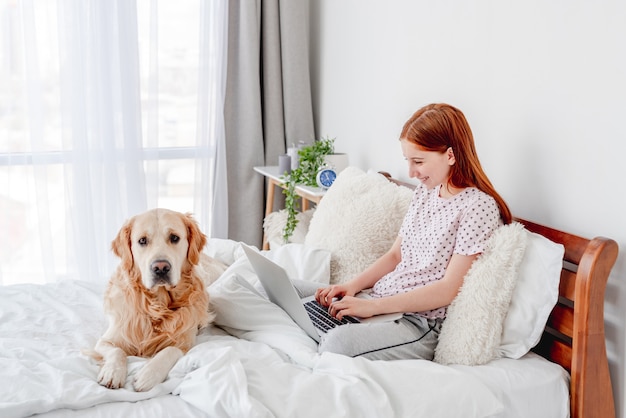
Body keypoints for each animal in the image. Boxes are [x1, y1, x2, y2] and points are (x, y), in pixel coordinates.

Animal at [90, 209, 227, 392]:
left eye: (174, 238)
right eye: (142, 240)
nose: (161, 268)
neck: (157, 305)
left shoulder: (186, 341)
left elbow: (169, 350)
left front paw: (148, 374)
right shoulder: (107, 339)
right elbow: (117, 351)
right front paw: (112, 372)